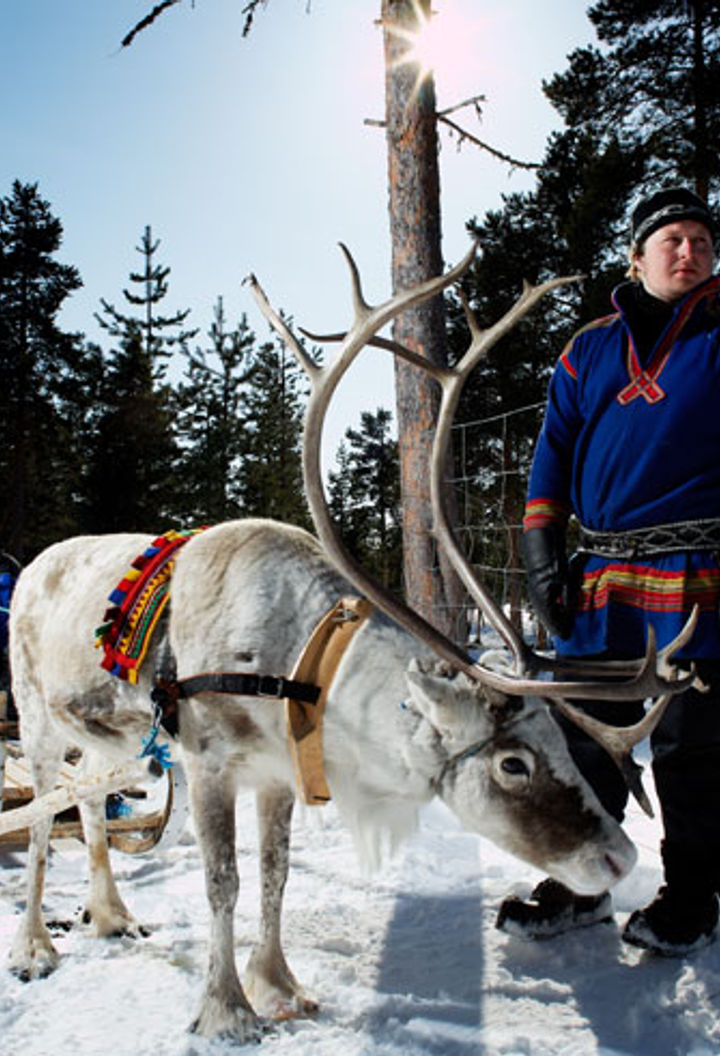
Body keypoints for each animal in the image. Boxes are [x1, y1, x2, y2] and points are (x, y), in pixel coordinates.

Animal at [6, 242, 695, 1044]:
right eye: (513, 764)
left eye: (558, 738)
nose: (620, 858)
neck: (300, 664)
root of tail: (33, 566)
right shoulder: (207, 763)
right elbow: (224, 882)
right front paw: (227, 1011)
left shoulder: (277, 772)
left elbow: (274, 875)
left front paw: (281, 986)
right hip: (35, 714)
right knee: (45, 812)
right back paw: (34, 945)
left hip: (97, 736)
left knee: (85, 800)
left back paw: (112, 914)